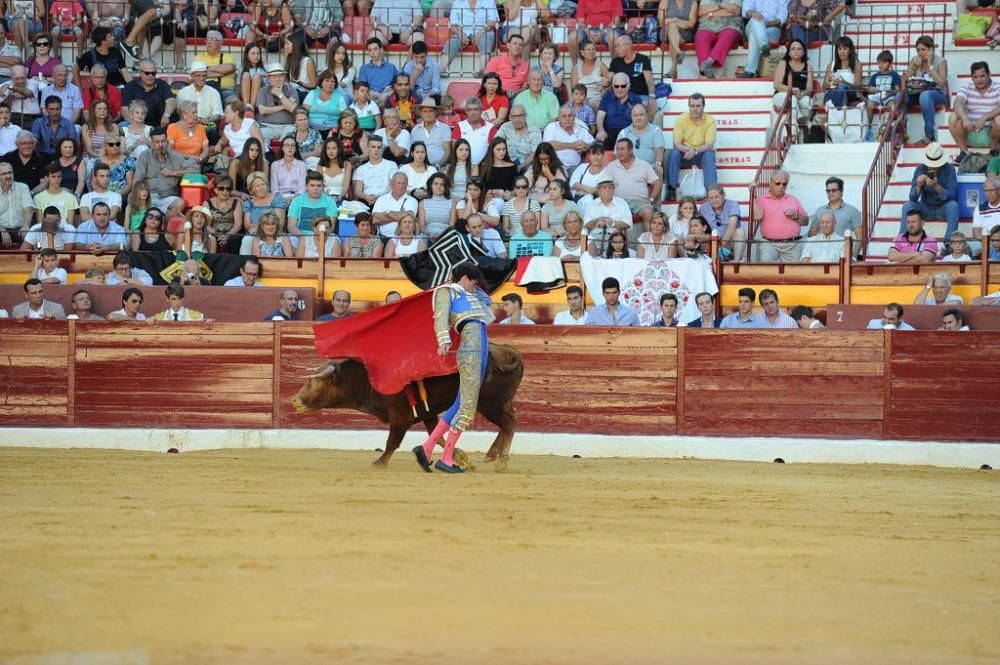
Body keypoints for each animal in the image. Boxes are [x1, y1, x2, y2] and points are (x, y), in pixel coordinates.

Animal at [290, 344, 524, 470]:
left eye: (316, 382)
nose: (295, 401)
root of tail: (509, 352)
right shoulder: (428, 414)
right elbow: (438, 436)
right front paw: (460, 457)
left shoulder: (400, 418)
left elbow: (392, 442)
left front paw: (379, 463)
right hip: (501, 403)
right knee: (509, 422)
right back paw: (491, 455)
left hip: (489, 404)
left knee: (508, 424)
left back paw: (502, 461)